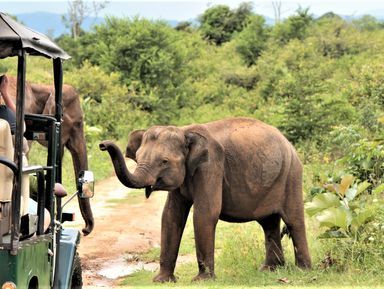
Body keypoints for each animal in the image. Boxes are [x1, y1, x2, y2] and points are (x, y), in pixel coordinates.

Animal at [100, 116, 312, 282]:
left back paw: (303, 270)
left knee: (293, 220)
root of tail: (288, 142)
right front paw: (162, 281)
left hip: (291, 173)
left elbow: (205, 213)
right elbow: (171, 216)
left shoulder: (211, 165)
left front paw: (201, 280)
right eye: (137, 157)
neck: (184, 131)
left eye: (164, 162)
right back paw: (270, 270)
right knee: (268, 223)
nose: (102, 144)